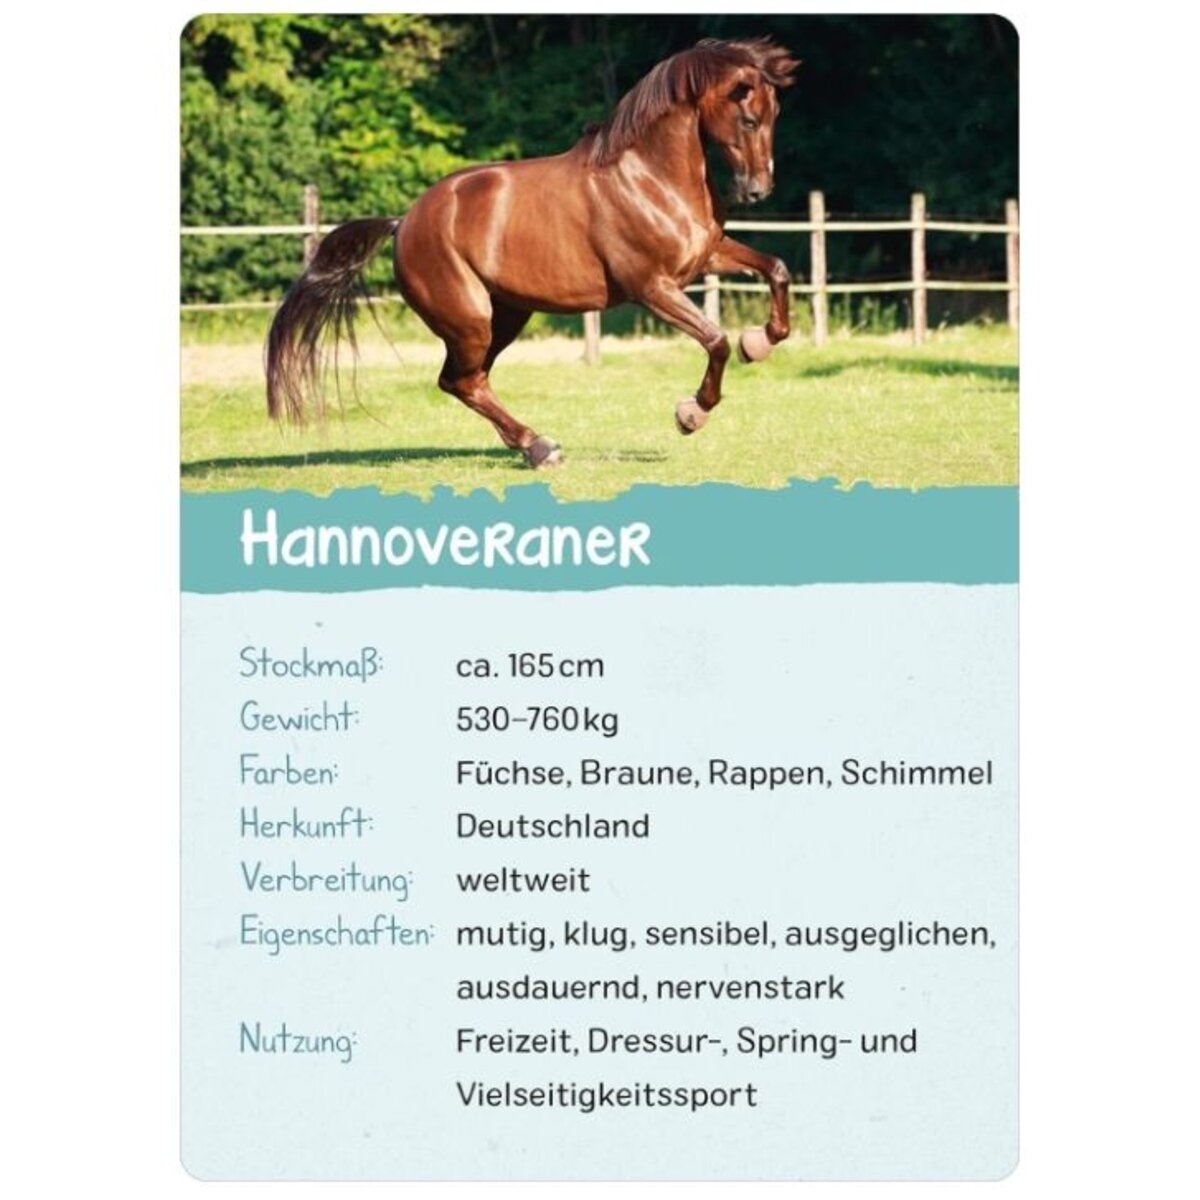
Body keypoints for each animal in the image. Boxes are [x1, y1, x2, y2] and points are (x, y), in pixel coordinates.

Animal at [266, 37, 800, 468]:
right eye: (749, 118)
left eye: (776, 118)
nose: (758, 191)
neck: (649, 177)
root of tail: (403, 224)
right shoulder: (652, 287)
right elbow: (716, 340)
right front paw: (691, 413)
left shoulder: (703, 257)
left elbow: (777, 270)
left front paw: (761, 341)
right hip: (472, 320)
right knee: (462, 381)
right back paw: (541, 448)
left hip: (506, 316)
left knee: (465, 381)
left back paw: (533, 446)